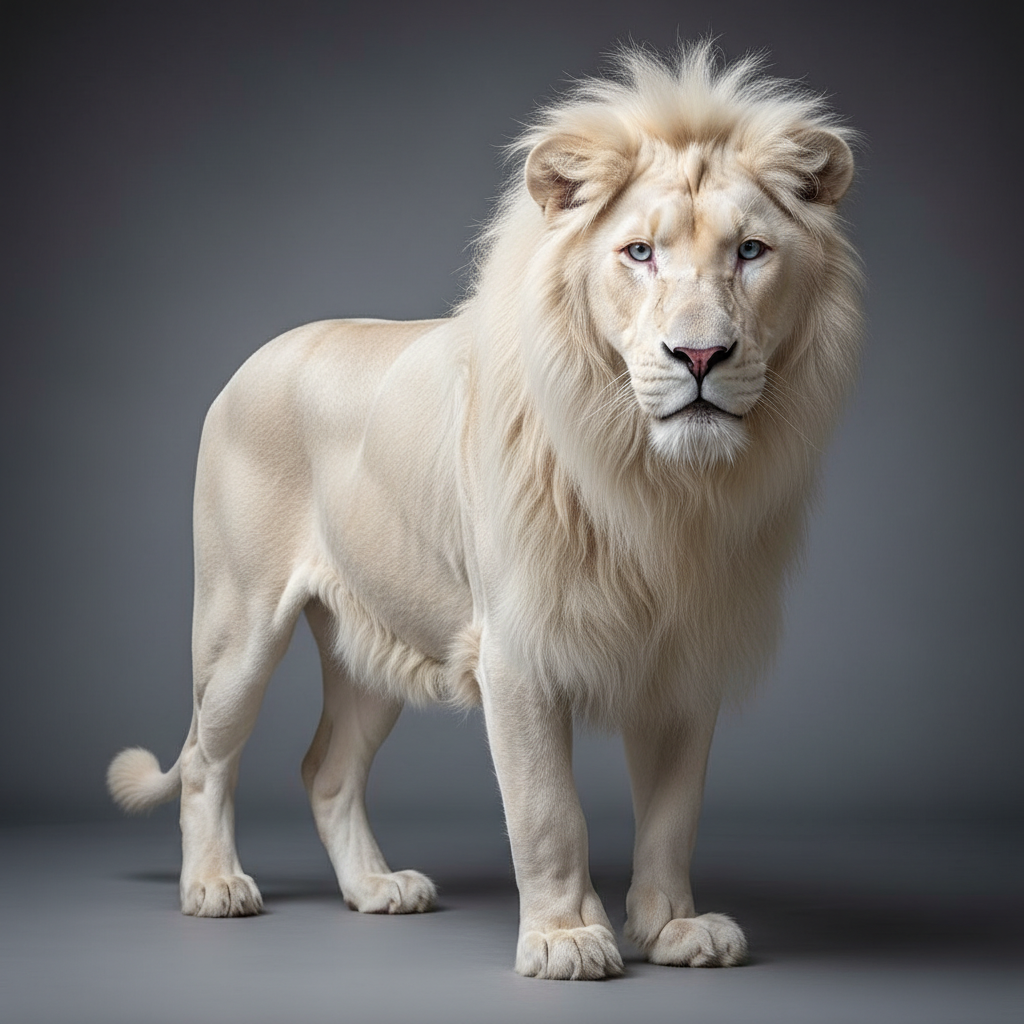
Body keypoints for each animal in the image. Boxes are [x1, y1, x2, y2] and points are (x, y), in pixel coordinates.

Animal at [107, 43, 861, 981]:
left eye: (752, 251)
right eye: (639, 252)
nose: (699, 355)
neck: (657, 485)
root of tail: (263, 354)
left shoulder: (687, 655)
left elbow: (673, 814)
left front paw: (672, 929)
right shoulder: (520, 651)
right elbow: (548, 811)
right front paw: (566, 937)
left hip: (374, 639)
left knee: (326, 769)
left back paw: (376, 889)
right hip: (238, 624)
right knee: (207, 760)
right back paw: (213, 886)